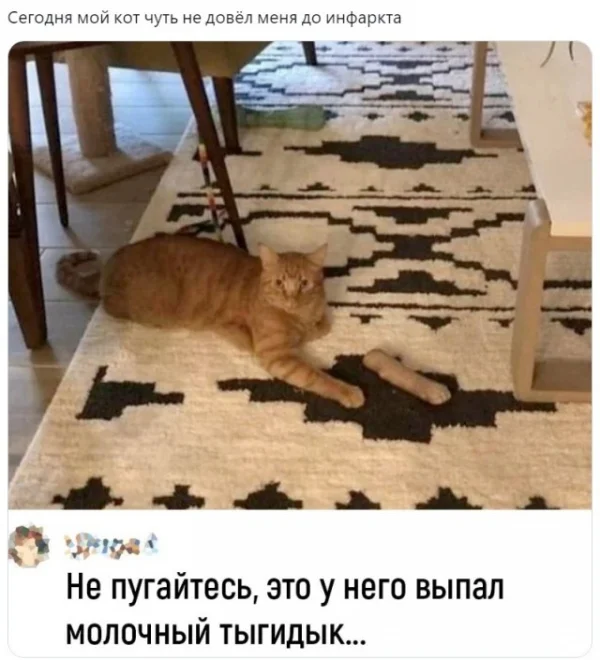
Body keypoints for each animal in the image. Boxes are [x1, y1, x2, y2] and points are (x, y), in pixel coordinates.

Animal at [57, 235, 365, 409]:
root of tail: (107, 266)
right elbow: (316, 375)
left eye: (304, 283)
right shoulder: (276, 355)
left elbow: (323, 325)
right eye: (279, 283)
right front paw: (348, 391)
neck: (298, 314)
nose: (291, 296)